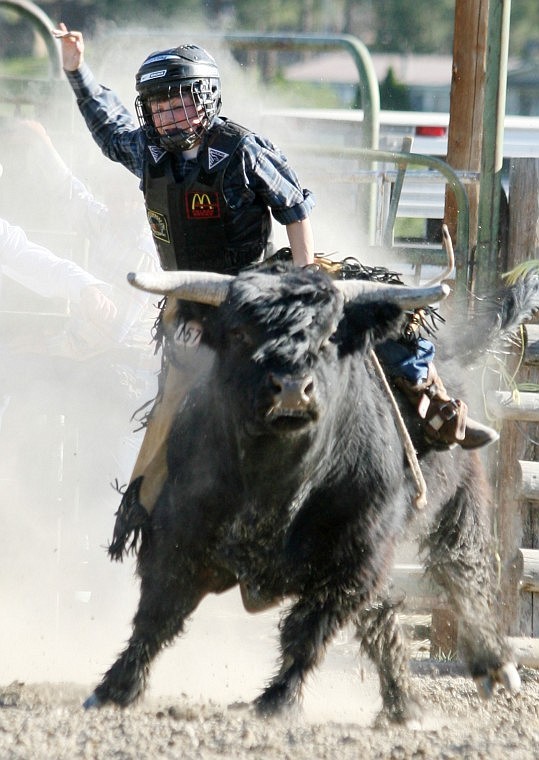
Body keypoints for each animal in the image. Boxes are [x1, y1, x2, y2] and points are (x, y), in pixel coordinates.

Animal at [84, 268, 536, 724]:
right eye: (240, 332)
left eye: (329, 336)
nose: (291, 388)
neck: (276, 486)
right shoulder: (177, 537)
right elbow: (157, 615)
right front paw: (114, 689)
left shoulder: (353, 559)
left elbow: (307, 632)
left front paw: (277, 701)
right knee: (383, 615)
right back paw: (403, 706)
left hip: (457, 503)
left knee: (463, 569)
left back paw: (493, 666)